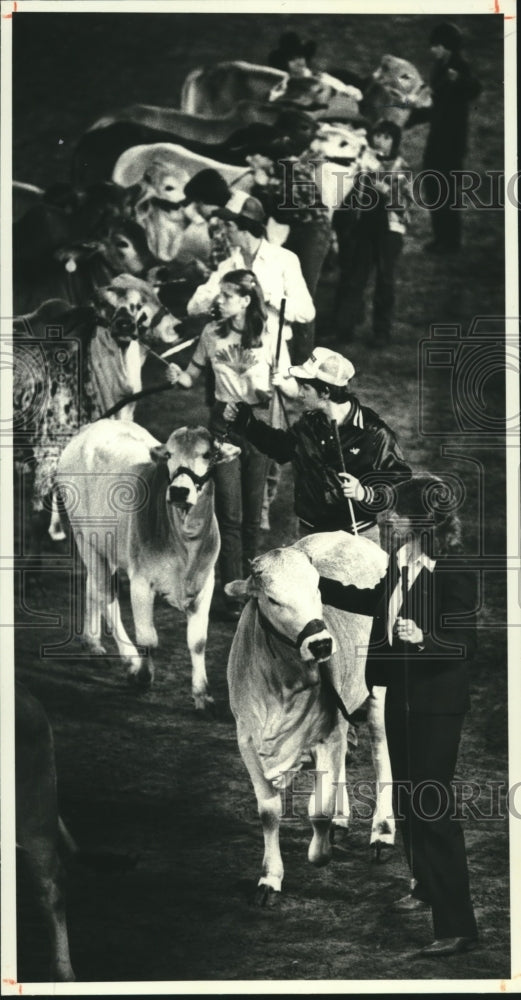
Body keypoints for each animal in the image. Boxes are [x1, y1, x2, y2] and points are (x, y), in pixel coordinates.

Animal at [55, 418, 240, 708]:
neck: (185, 542)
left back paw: (92, 642)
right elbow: (148, 639)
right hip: (85, 536)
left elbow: (198, 641)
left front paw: (202, 694)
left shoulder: (206, 582)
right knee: (105, 595)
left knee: (92, 586)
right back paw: (128, 661)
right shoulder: (141, 582)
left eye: (208, 455)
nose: (179, 491)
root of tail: (91, 427)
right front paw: (143, 673)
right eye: (170, 455)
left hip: (107, 545)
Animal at [226, 532, 394, 908]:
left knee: (381, 754)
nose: (321, 645)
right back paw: (343, 821)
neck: (284, 685)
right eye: (273, 599)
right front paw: (269, 878)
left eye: (318, 588)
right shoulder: (247, 740)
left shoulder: (324, 735)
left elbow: (319, 809)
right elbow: (269, 812)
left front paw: (320, 854)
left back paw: (381, 832)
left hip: (379, 690)